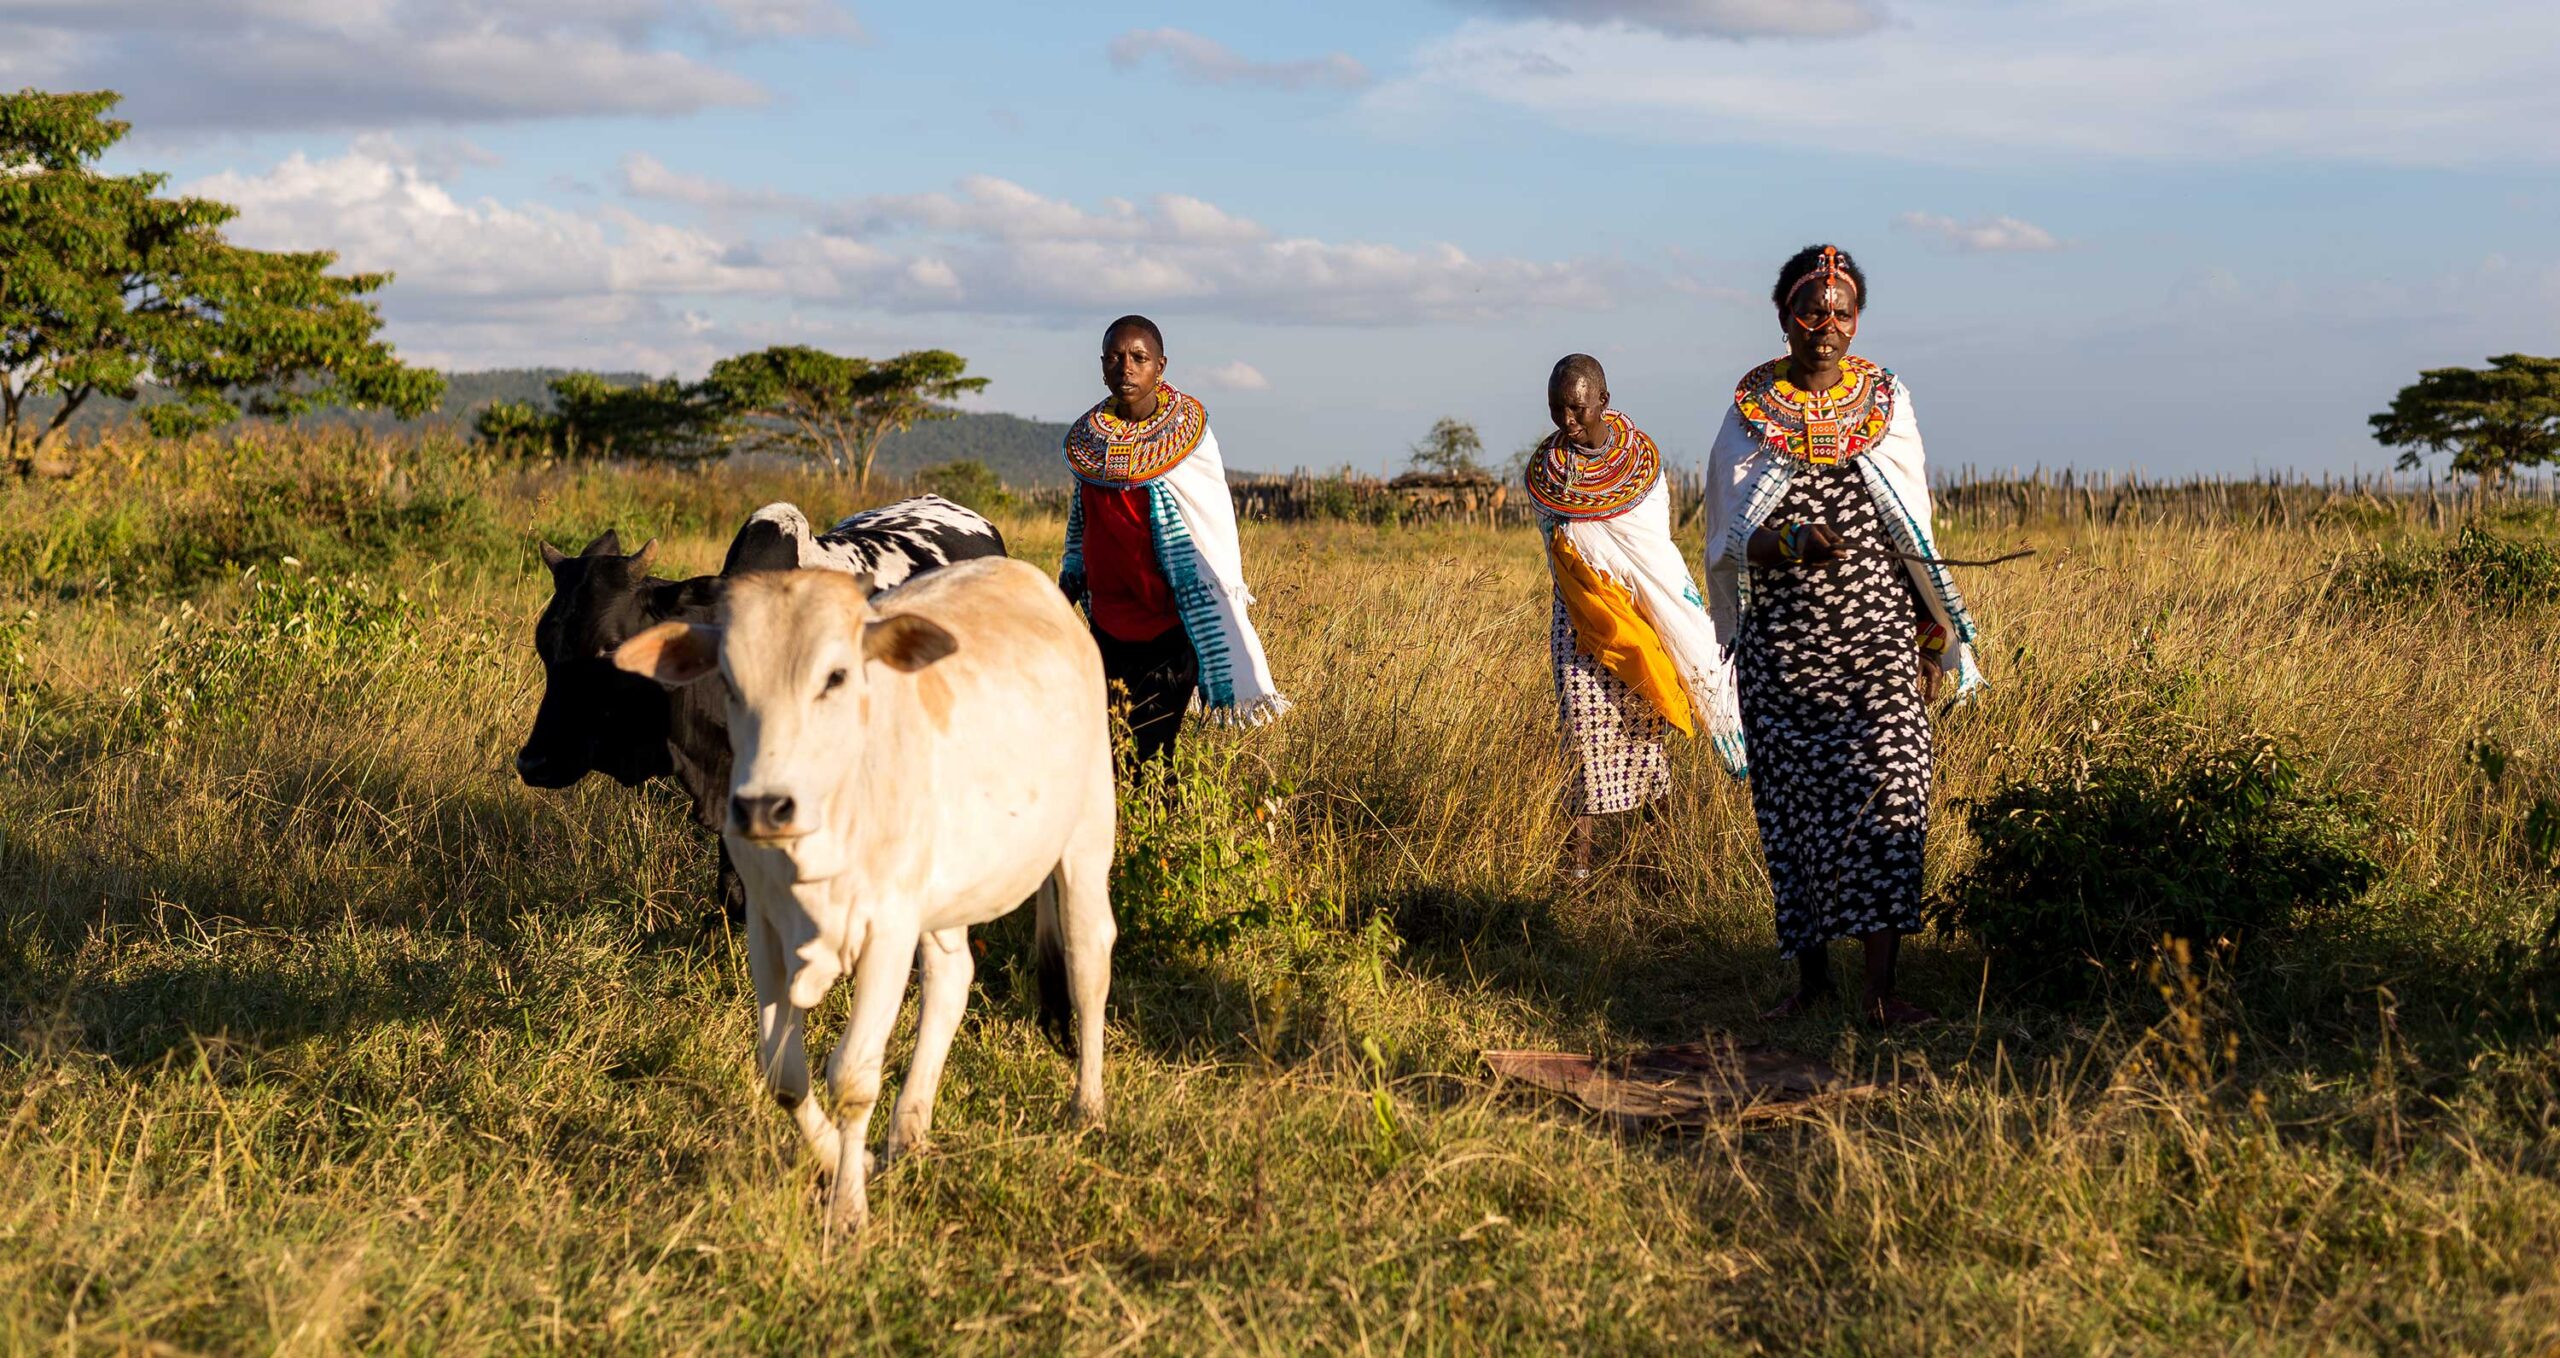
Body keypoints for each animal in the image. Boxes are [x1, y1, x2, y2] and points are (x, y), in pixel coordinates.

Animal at [614, 556, 1116, 1229]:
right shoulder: (766, 929)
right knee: (951, 980)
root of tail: (1028, 579)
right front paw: (841, 1160)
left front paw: (848, 1208)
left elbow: (852, 1076)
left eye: (836, 675)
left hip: (1087, 832)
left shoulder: (887, 930)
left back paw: (1087, 1105)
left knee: (1088, 961)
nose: (764, 807)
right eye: (730, 680)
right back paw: (910, 1130)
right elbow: (783, 1072)